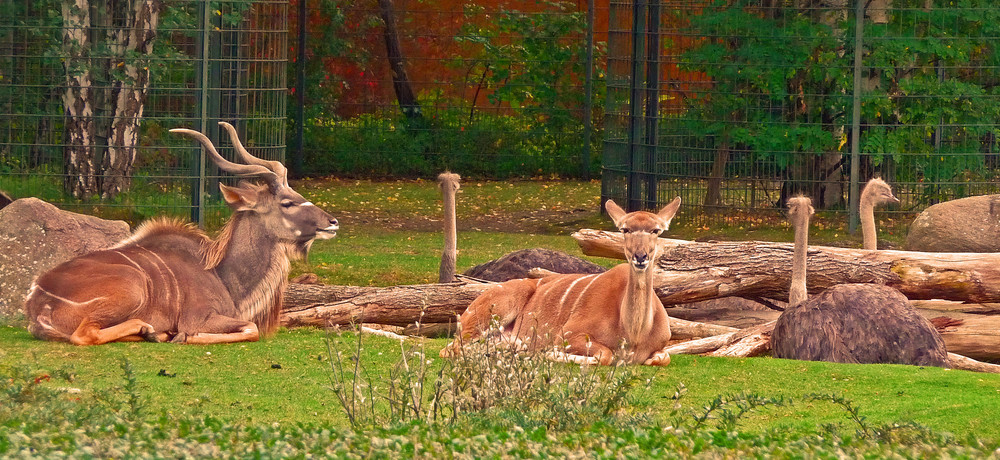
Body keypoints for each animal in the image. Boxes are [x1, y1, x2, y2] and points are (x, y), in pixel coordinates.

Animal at [25, 122, 338, 344]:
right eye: (287, 202)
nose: (333, 222)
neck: (222, 274)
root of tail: (38, 305)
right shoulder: (200, 317)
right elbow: (250, 329)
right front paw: (184, 337)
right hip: (132, 288)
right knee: (84, 334)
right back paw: (151, 329)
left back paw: (154, 333)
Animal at [444, 198, 684, 366]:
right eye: (624, 229)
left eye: (656, 230)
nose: (640, 256)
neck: (633, 334)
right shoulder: (567, 334)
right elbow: (605, 356)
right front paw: (547, 353)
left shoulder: (661, 349)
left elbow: (663, 358)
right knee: (451, 348)